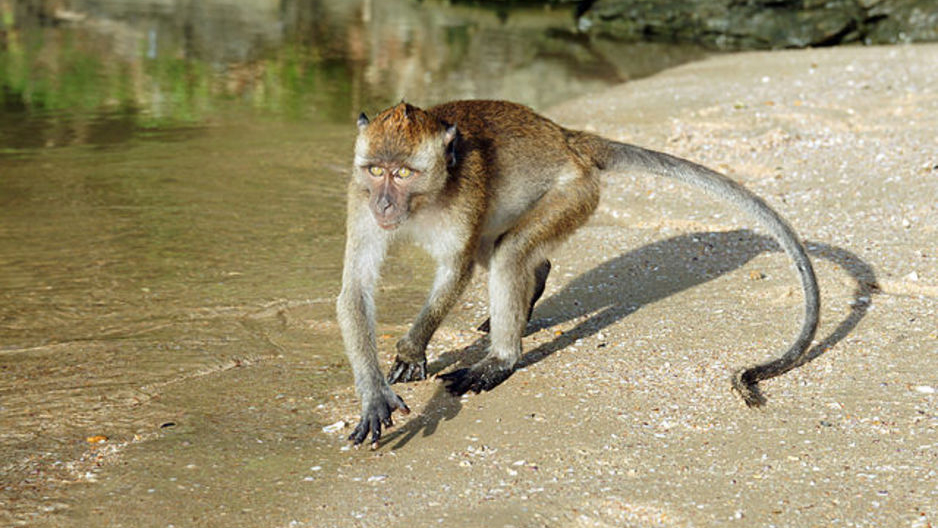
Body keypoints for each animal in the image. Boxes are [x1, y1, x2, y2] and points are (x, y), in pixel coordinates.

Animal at [332, 99, 816, 446]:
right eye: (375, 170)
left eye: (403, 173)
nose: (384, 205)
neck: (425, 200)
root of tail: (567, 137)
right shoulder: (357, 196)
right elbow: (355, 288)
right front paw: (373, 393)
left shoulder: (466, 190)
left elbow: (456, 269)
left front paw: (411, 350)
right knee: (504, 247)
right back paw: (533, 286)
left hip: (576, 191)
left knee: (508, 253)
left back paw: (501, 359)